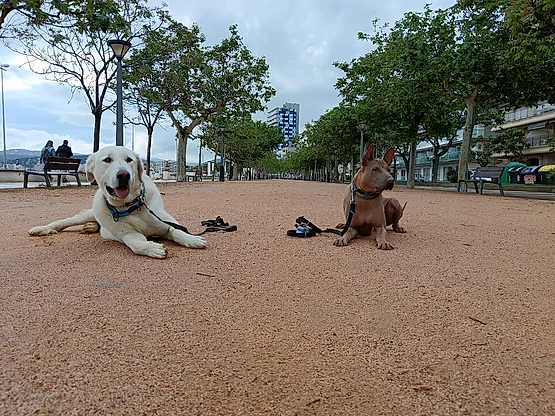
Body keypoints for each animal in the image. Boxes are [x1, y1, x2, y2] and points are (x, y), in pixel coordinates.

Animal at [28, 145, 206, 256]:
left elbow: (177, 230)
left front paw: (192, 239)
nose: (123, 175)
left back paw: (91, 227)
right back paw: (43, 229)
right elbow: (136, 244)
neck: (130, 206)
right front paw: (151, 248)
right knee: (63, 222)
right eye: (107, 160)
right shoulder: (128, 234)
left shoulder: (164, 223)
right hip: (90, 212)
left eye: (129, 160)